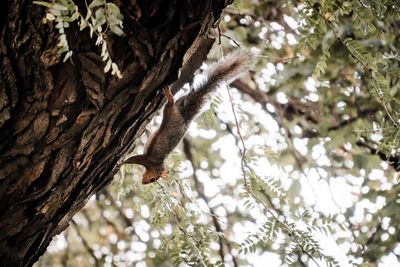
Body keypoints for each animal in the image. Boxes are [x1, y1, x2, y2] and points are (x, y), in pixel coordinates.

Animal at [118, 49, 253, 184]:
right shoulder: (147, 160)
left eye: (153, 179)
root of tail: (184, 119)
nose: (144, 182)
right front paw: (121, 163)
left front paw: (121, 162)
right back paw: (171, 94)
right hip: (172, 111)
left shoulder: (147, 160)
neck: (156, 165)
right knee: (171, 103)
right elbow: (134, 159)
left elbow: (135, 158)